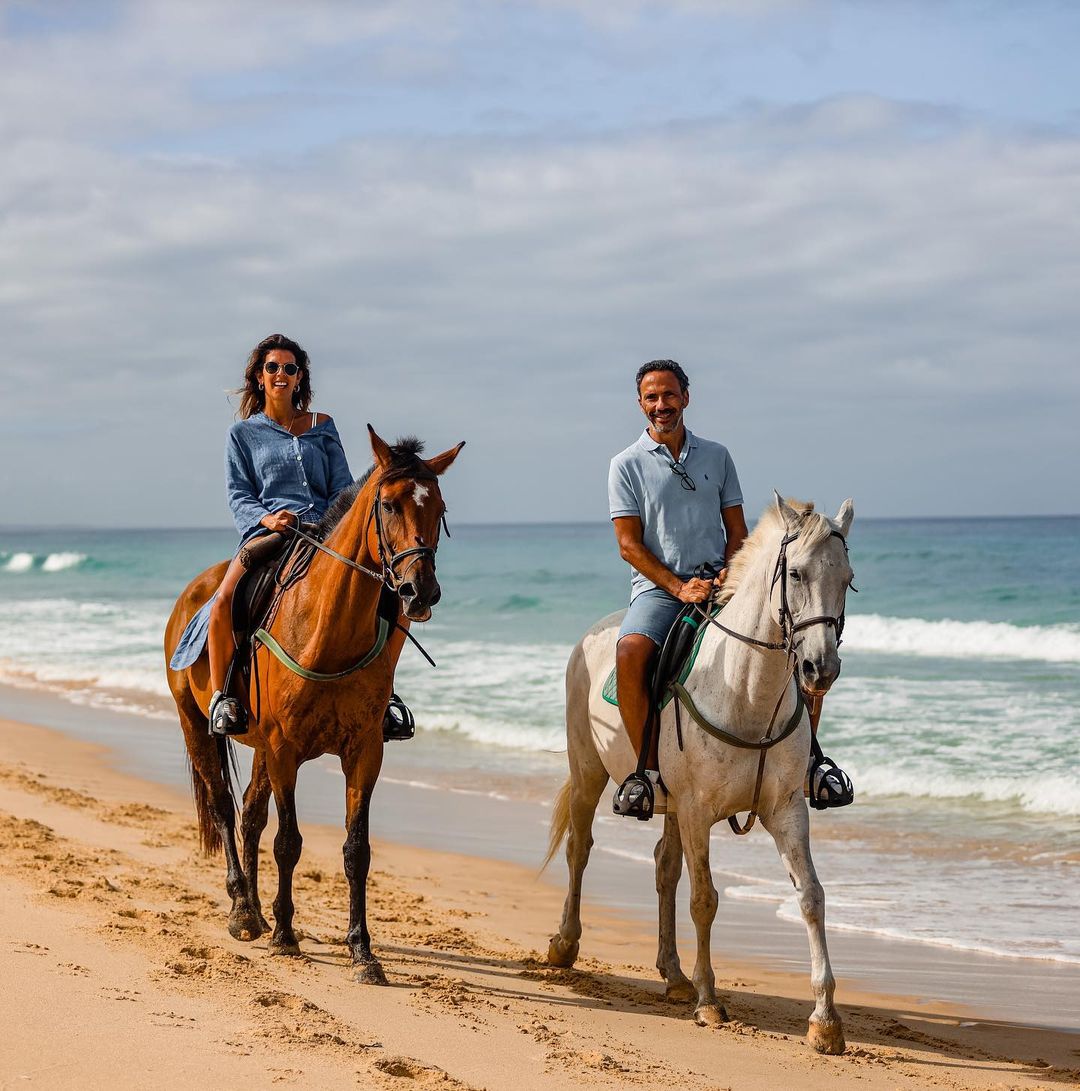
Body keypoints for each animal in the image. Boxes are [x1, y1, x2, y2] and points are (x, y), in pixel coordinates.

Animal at [164, 427, 463, 984]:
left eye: (439, 507)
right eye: (388, 504)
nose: (420, 591)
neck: (329, 631)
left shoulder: (364, 753)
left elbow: (355, 850)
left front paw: (362, 950)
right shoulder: (285, 750)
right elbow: (289, 841)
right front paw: (286, 937)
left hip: (260, 745)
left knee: (250, 815)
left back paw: (256, 914)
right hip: (196, 724)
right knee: (223, 807)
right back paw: (243, 910)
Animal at [544, 494, 855, 1054]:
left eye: (847, 578)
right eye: (796, 573)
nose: (820, 669)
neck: (745, 691)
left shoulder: (785, 810)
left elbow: (811, 897)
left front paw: (825, 1020)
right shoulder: (696, 811)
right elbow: (705, 899)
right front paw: (710, 1000)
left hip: (667, 803)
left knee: (664, 867)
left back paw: (673, 975)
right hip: (587, 770)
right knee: (580, 849)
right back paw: (565, 945)